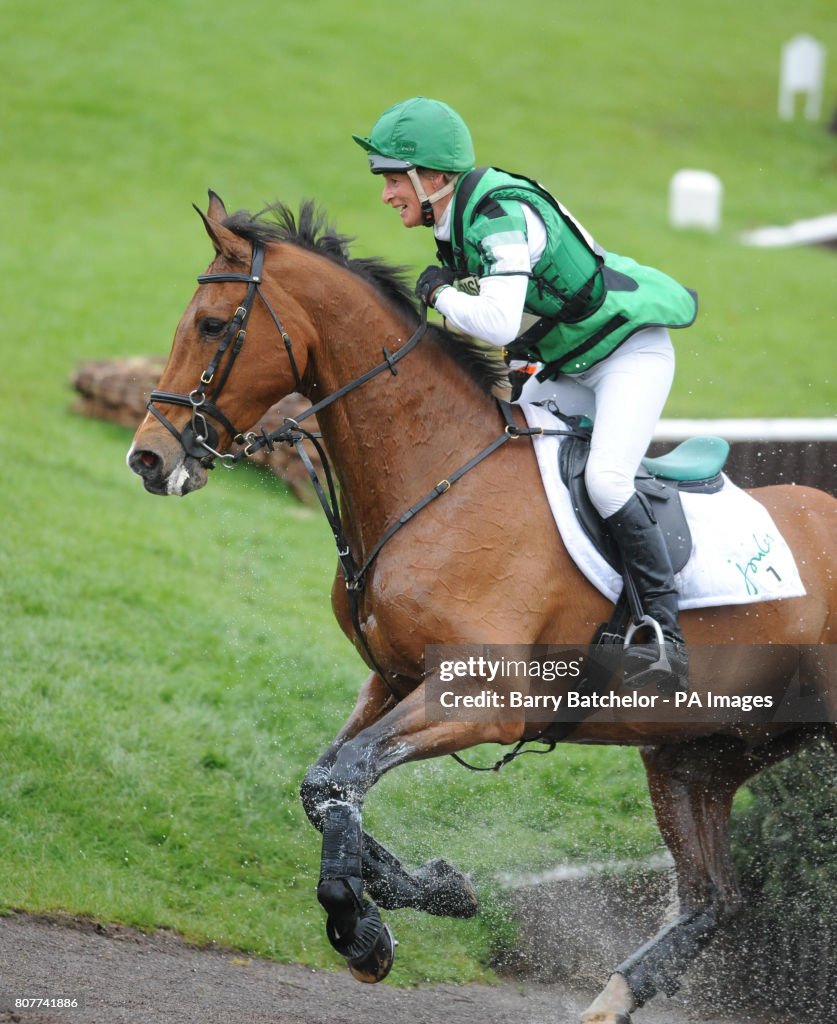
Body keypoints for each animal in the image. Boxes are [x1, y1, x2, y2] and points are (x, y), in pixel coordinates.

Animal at [125, 193, 835, 1024]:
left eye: (211, 325)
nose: (148, 459)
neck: (436, 480)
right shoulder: (394, 681)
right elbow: (324, 784)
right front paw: (431, 890)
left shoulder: (480, 700)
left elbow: (346, 776)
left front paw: (358, 925)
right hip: (699, 755)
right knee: (710, 899)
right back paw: (612, 998)